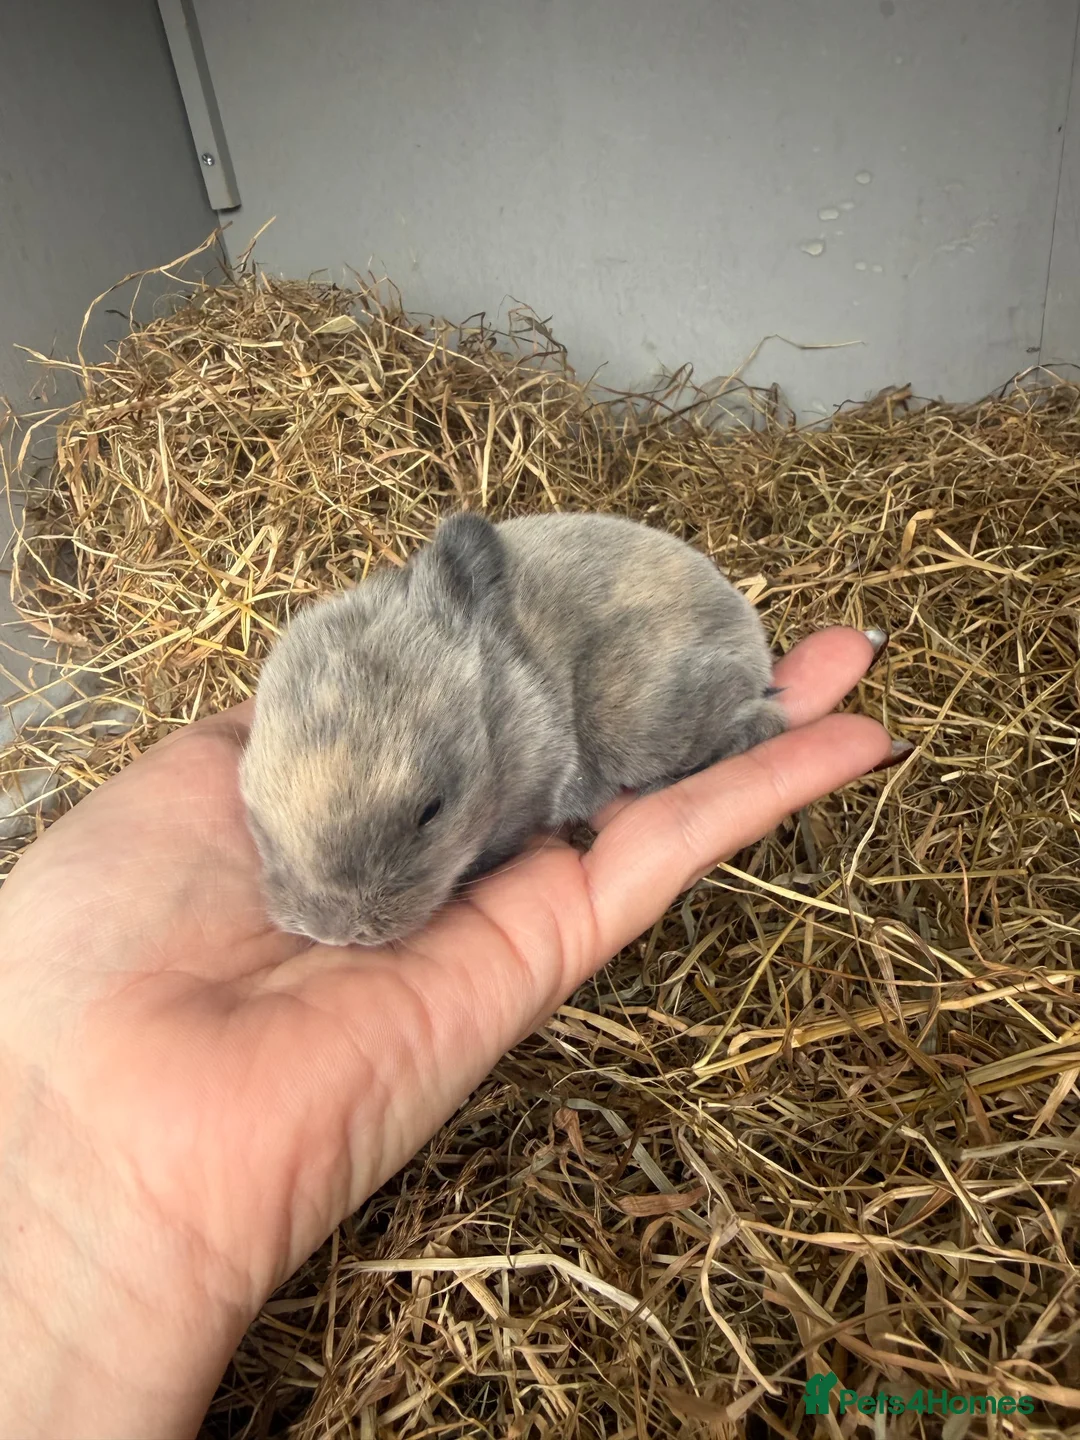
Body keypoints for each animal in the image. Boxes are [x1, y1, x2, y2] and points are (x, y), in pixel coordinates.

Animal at [239, 511, 786, 947]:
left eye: (431, 811)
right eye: (258, 820)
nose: (335, 933)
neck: (503, 716)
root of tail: (748, 626)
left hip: (637, 725)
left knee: (764, 723)